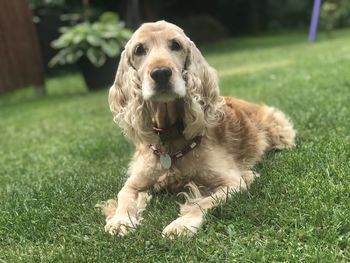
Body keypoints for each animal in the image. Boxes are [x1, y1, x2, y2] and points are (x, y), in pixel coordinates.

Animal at [101, 21, 296, 239]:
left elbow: (203, 202)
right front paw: (120, 220)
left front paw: (182, 224)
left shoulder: (234, 181)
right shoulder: (134, 182)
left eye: (176, 45)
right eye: (139, 50)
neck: (170, 136)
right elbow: (123, 196)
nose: (161, 73)